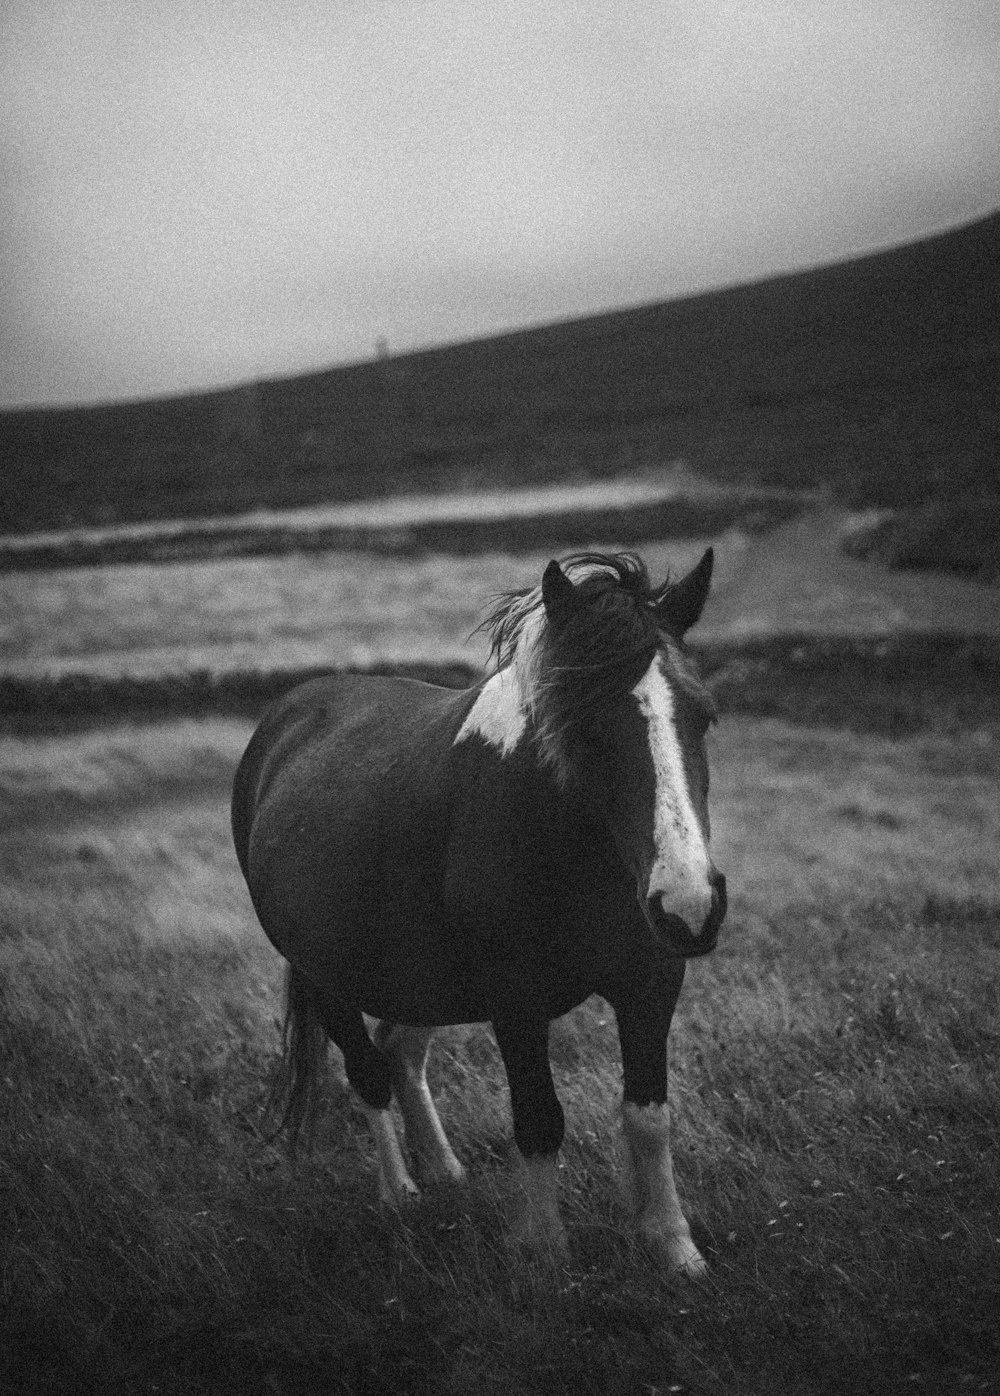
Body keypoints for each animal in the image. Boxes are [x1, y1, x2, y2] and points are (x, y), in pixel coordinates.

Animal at [229, 547, 720, 1278]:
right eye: (586, 728)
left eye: (703, 716)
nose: (690, 905)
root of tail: (285, 717)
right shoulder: (515, 1000)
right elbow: (540, 1120)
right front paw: (544, 1253)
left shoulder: (652, 981)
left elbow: (648, 1114)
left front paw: (672, 1245)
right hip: (324, 973)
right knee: (369, 1073)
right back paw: (399, 1194)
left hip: (415, 976)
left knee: (400, 1053)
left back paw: (443, 1170)